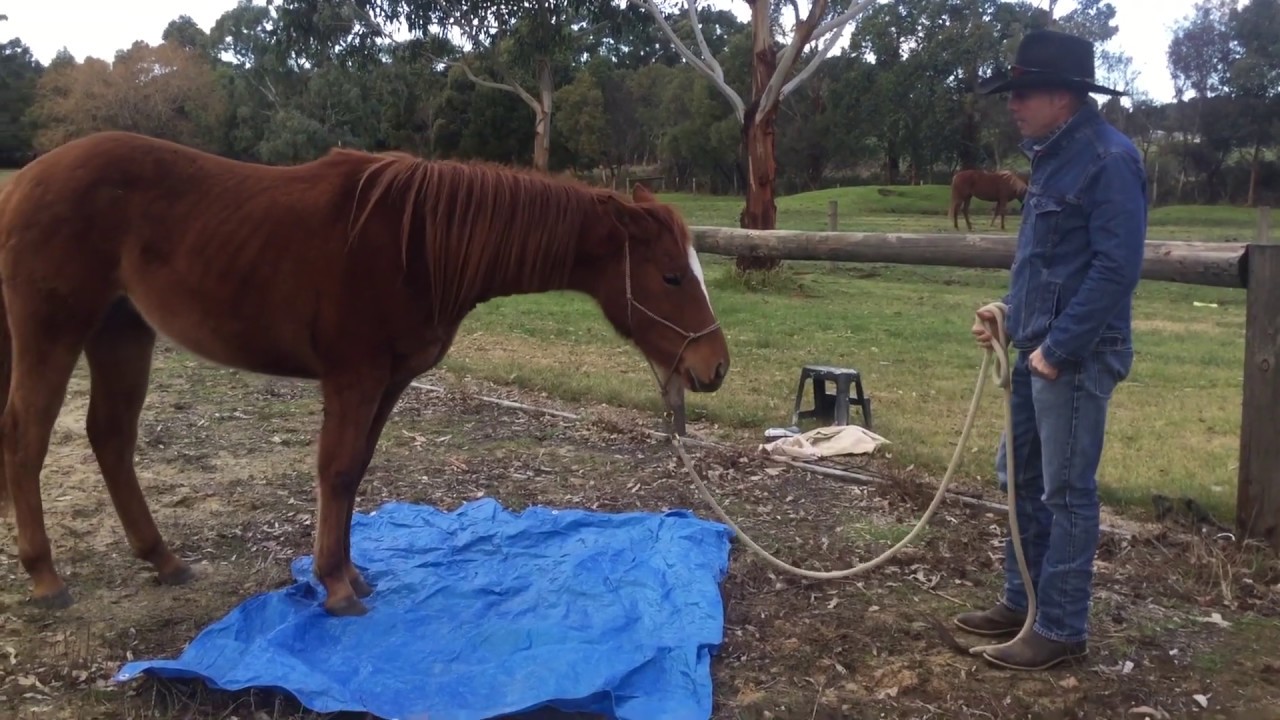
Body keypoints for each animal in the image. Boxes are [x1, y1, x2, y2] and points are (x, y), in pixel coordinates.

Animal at [0, 131, 730, 617]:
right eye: (671, 276)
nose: (714, 365)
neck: (421, 244)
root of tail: (26, 179)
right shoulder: (353, 377)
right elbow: (338, 470)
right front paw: (335, 587)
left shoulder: (389, 381)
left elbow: (354, 475)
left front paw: (350, 574)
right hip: (53, 333)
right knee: (27, 437)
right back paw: (45, 576)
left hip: (122, 331)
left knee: (111, 437)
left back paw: (162, 559)